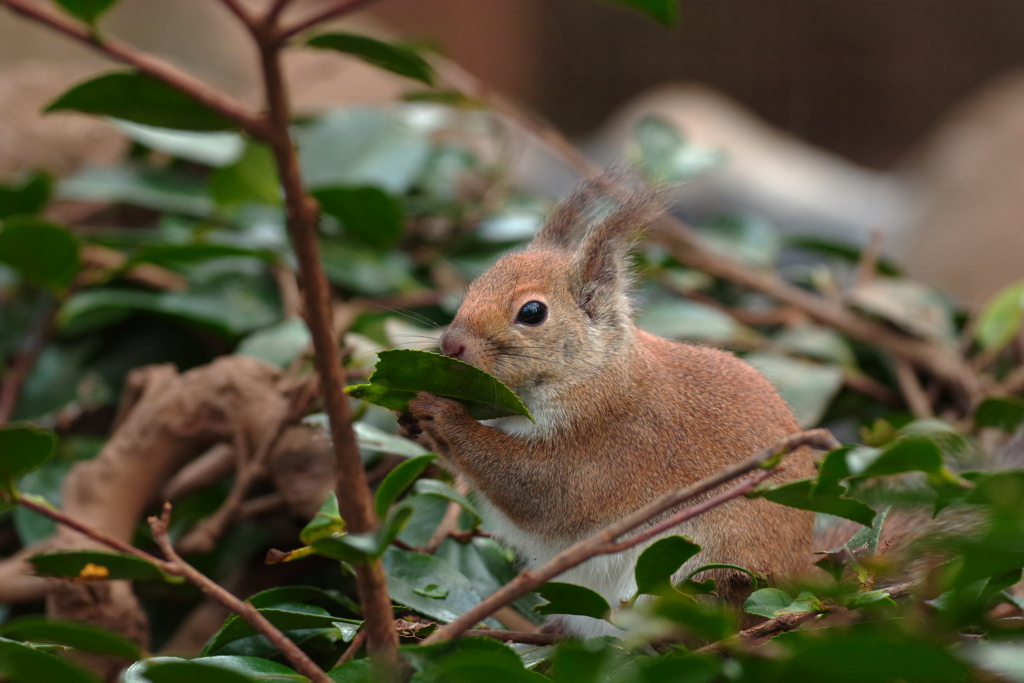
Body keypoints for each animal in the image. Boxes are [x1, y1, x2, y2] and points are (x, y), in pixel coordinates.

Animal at [399, 183, 815, 634]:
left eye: (532, 312)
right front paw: (409, 416)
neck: (597, 372)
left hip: (705, 571)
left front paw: (442, 413)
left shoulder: (602, 447)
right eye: (476, 283)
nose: (450, 344)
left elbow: (531, 487)